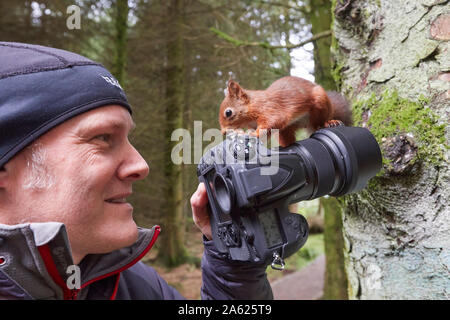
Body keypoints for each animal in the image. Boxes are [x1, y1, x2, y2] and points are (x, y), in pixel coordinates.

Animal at [220, 77, 354, 147]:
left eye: (228, 112)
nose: (223, 132)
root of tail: (305, 125)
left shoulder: (270, 110)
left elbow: (269, 124)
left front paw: (252, 134)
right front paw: (241, 133)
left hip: (320, 103)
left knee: (319, 123)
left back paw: (329, 122)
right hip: (285, 130)